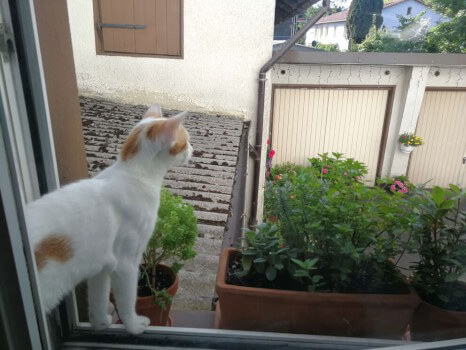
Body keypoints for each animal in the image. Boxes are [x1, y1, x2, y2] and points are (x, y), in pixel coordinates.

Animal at [25, 103, 193, 334]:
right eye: (185, 142)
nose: (193, 149)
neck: (133, 174)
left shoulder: (101, 267)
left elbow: (98, 299)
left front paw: (100, 323)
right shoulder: (125, 263)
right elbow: (127, 300)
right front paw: (133, 326)